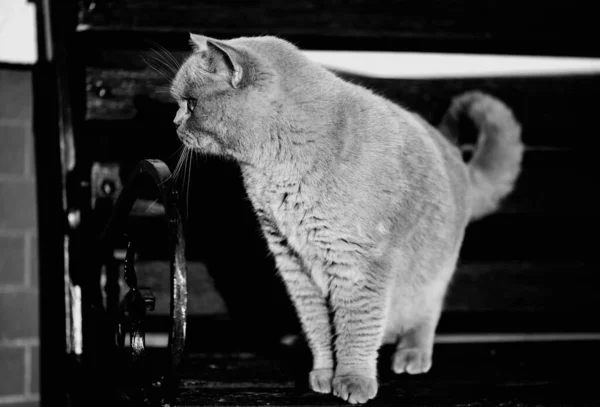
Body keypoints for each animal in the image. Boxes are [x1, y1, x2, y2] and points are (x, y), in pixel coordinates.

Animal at [171, 33, 524, 404]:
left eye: (190, 104)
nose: (174, 123)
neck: (276, 170)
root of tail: (456, 156)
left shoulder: (358, 263)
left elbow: (356, 327)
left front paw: (353, 380)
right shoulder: (294, 264)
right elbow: (319, 327)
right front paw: (324, 373)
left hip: (431, 273)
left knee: (425, 314)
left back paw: (412, 354)